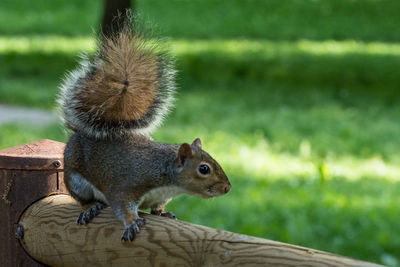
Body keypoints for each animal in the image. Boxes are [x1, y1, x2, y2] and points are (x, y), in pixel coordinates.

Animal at [56, 21, 231, 243]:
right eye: (203, 169)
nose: (227, 188)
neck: (167, 178)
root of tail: (80, 133)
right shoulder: (126, 186)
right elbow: (122, 206)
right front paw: (131, 223)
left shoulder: (160, 196)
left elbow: (157, 207)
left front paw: (163, 212)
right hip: (74, 177)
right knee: (82, 198)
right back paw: (90, 207)